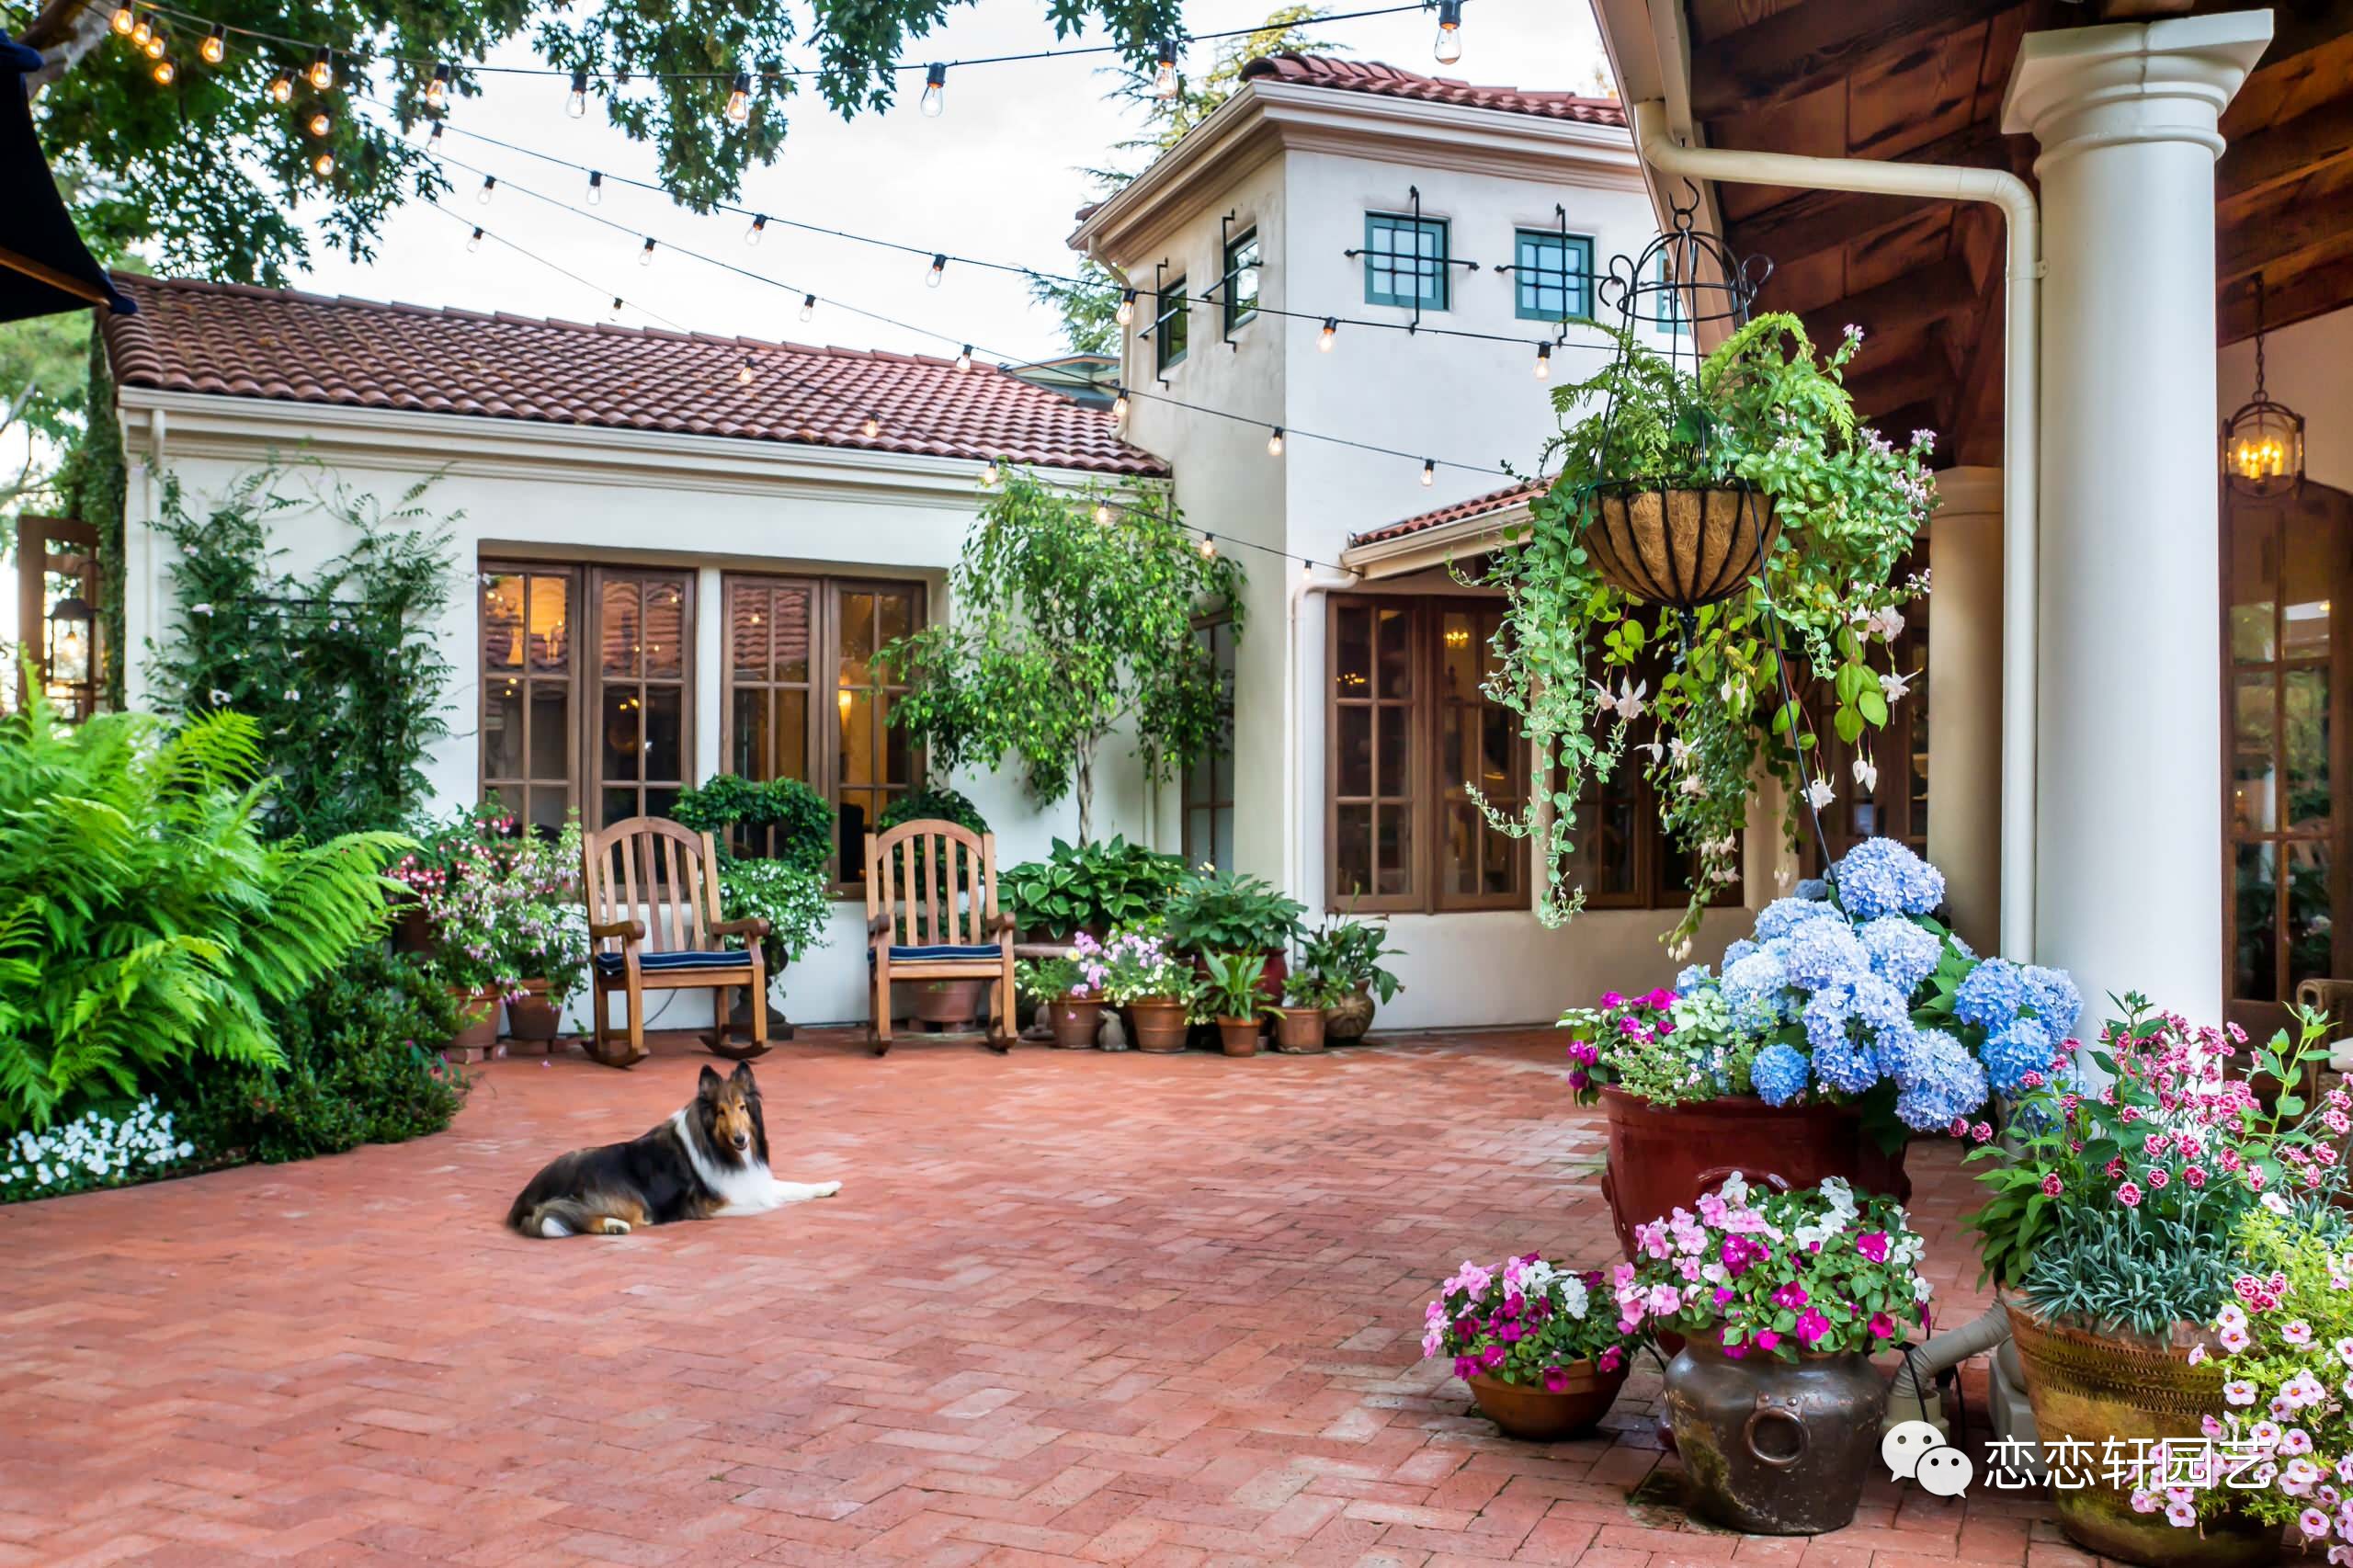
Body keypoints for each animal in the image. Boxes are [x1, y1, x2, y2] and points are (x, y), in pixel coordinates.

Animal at [503, 1054, 837, 1243]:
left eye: (743, 1107)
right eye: (720, 1112)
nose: (741, 1139)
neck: (719, 1148)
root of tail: (526, 1196)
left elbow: (792, 1186)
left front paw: (827, 1185)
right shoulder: (713, 1202)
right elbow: (767, 1200)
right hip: (625, 1198)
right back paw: (614, 1225)